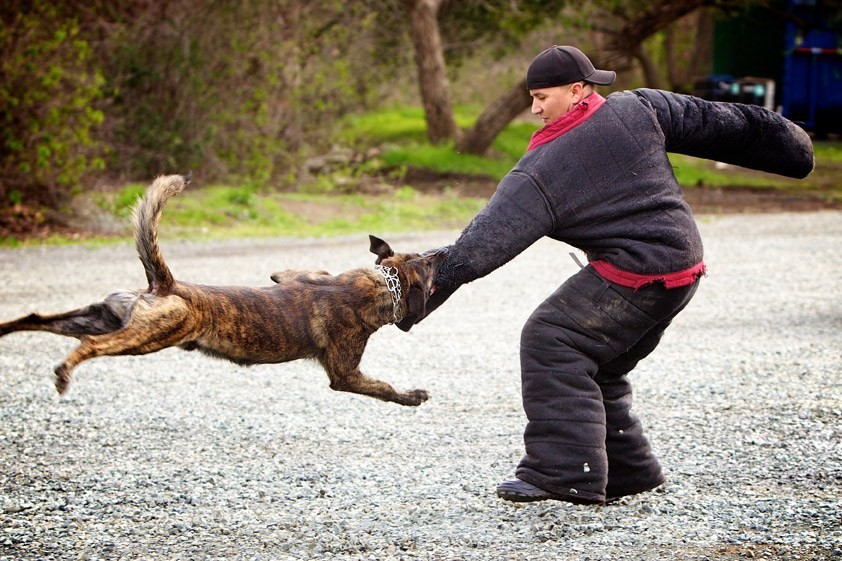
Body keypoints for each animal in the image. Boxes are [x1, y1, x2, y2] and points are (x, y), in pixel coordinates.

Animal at [0, 173, 442, 404]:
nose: (439, 253)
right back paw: (63, 374)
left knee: (36, 317)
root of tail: (167, 285)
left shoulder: (294, 273)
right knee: (89, 347)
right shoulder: (345, 374)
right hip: (146, 335)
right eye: (427, 266)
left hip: (97, 316)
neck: (381, 282)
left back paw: (6, 330)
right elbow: (383, 388)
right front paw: (412, 394)